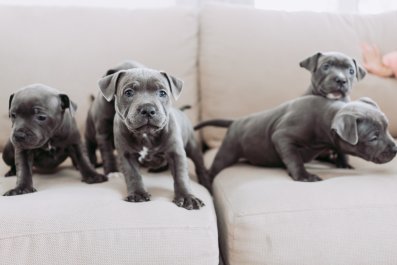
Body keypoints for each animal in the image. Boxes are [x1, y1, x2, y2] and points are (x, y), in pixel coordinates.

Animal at [97, 67, 209, 209]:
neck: (146, 135)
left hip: (192, 146)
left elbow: (181, 176)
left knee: (200, 165)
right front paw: (138, 194)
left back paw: (205, 182)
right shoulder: (126, 155)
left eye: (162, 93)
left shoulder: (176, 153)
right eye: (128, 92)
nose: (148, 109)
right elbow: (133, 175)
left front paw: (187, 197)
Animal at [195, 95, 396, 182]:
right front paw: (303, 176)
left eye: (387, 128)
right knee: (217, 165)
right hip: (229, 149)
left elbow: (340, 148)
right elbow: (293, 157)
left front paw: (343, 163)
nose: (395, 149)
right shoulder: (282, 137)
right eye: (374, 137)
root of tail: (236, 121)